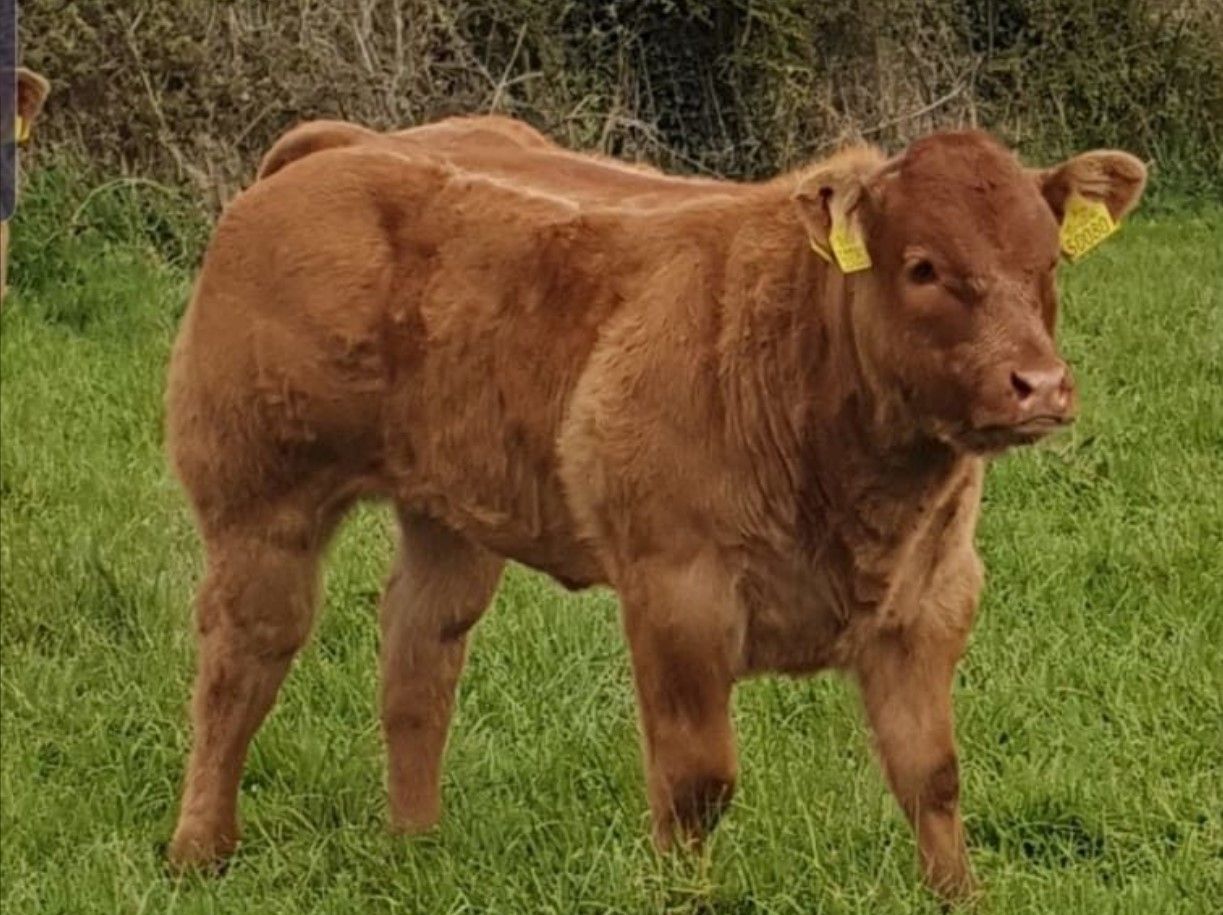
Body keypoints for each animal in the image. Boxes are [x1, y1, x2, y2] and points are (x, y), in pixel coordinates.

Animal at [164, 125, 1146, 901]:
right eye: (923, 267)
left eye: (1045, 262)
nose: (1038, 385)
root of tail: (346, 144)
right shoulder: (679, 593)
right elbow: (696, 785)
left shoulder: (932, 598)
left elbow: (931, 775)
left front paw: (958, 895)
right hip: (261, 505)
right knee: (239, 665)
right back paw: (198, 850)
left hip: (449, 511)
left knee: (418, 653)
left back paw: (415, 842)